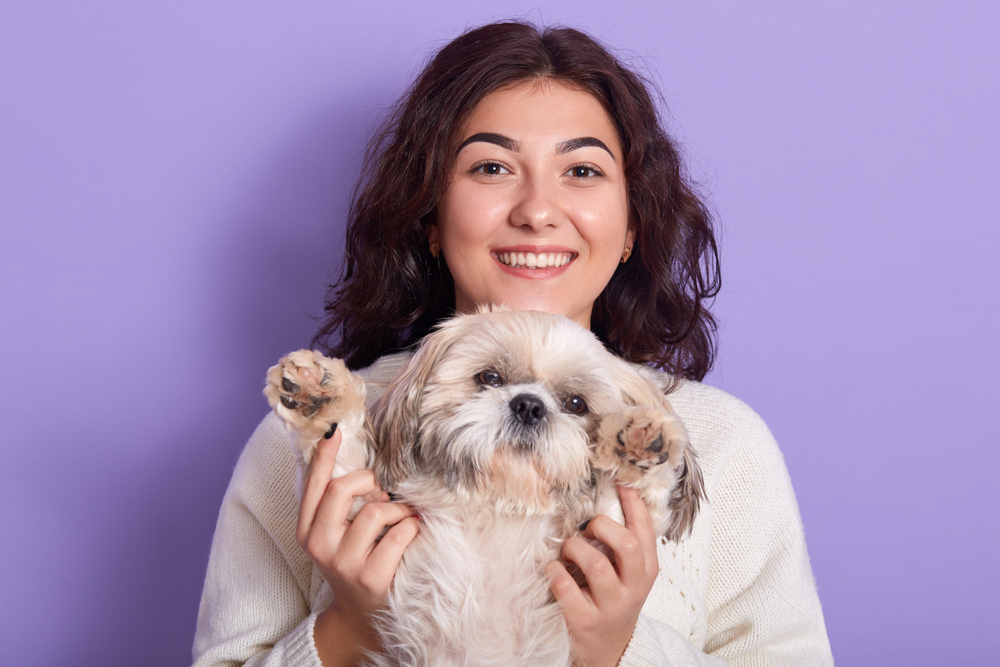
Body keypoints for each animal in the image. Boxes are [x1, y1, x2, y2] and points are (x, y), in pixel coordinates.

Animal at [262, 310, 708, 667]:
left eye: (576, 404)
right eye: (490, 378)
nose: (529, 405)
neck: (498, 509)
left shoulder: (589, 551)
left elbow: (627, 502)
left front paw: (641, 445)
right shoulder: (375, 519)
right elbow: (341, 451)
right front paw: (318, 397)